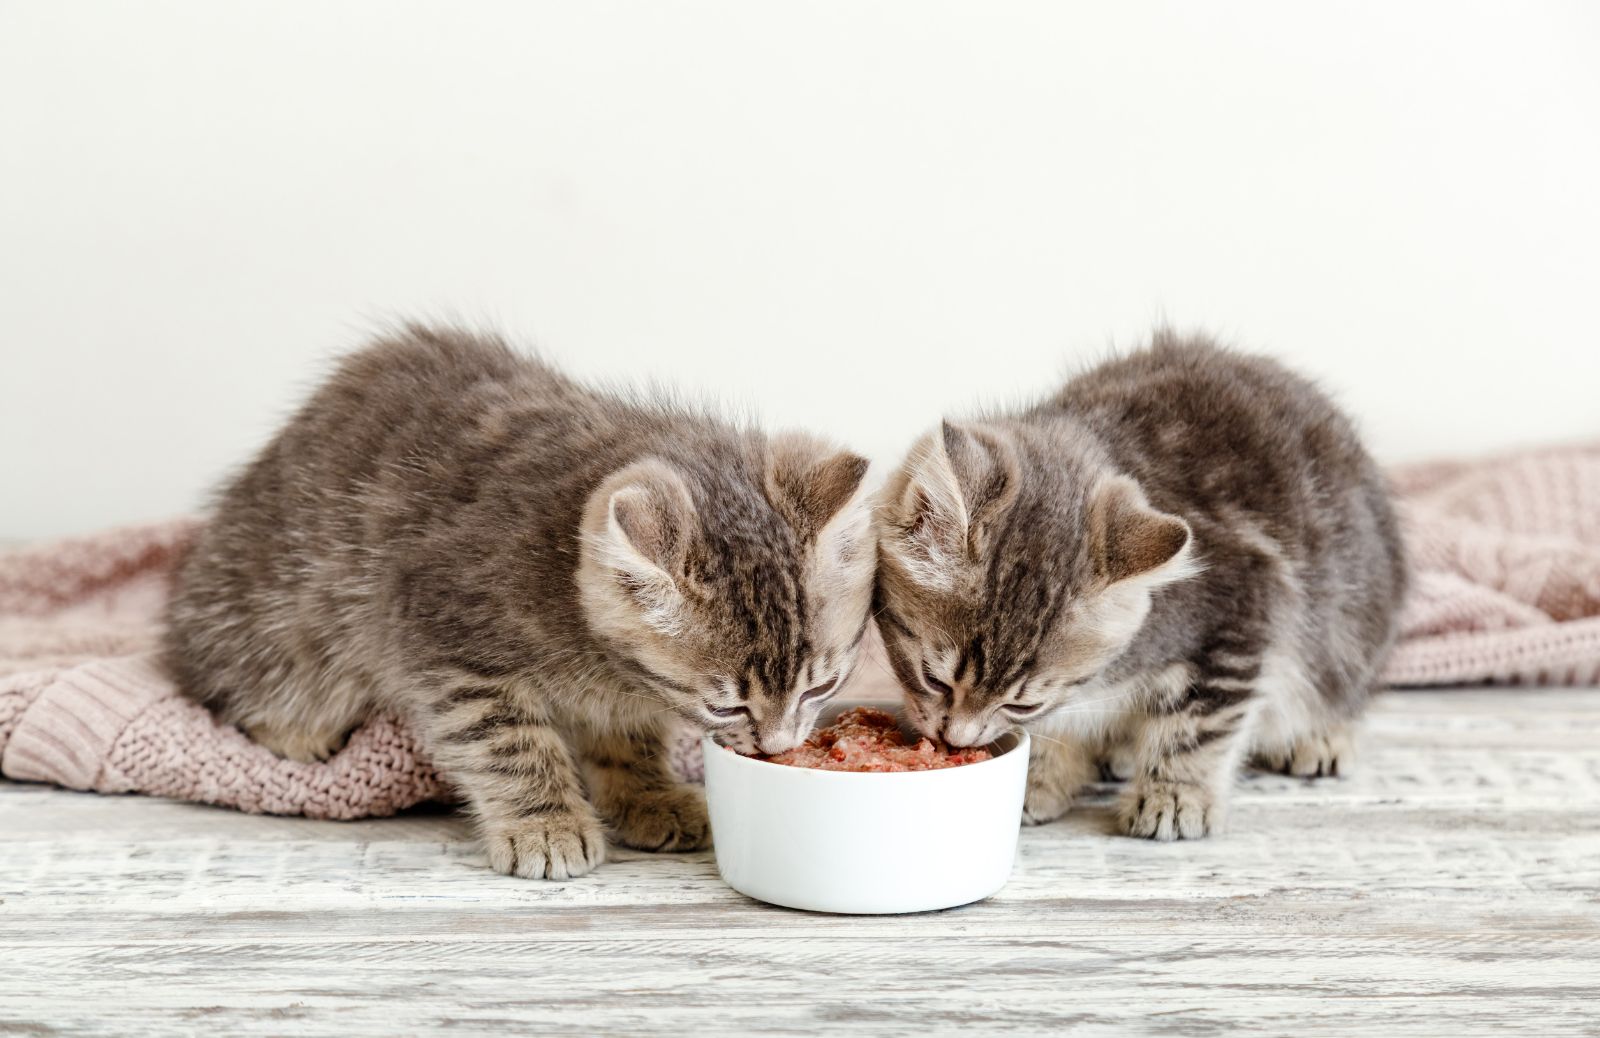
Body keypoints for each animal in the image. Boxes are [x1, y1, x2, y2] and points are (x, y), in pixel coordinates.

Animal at [165, 323, 876, 876]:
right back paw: (294, 731)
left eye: (820, 688)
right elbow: (507, 743)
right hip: (282, 618)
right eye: (727, 706)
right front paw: (546, 824)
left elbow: (626, 736)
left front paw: (649, 796)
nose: (779, 750)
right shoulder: (442, 635)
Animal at [870, 327, 1408, 838]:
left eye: (1024, 704)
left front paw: (1176, 795)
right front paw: (1040, 779)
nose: (954, 740)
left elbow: (1200, 721)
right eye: (933, 679)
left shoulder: (1241, 611)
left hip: (1352, 629)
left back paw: (1321, 736)